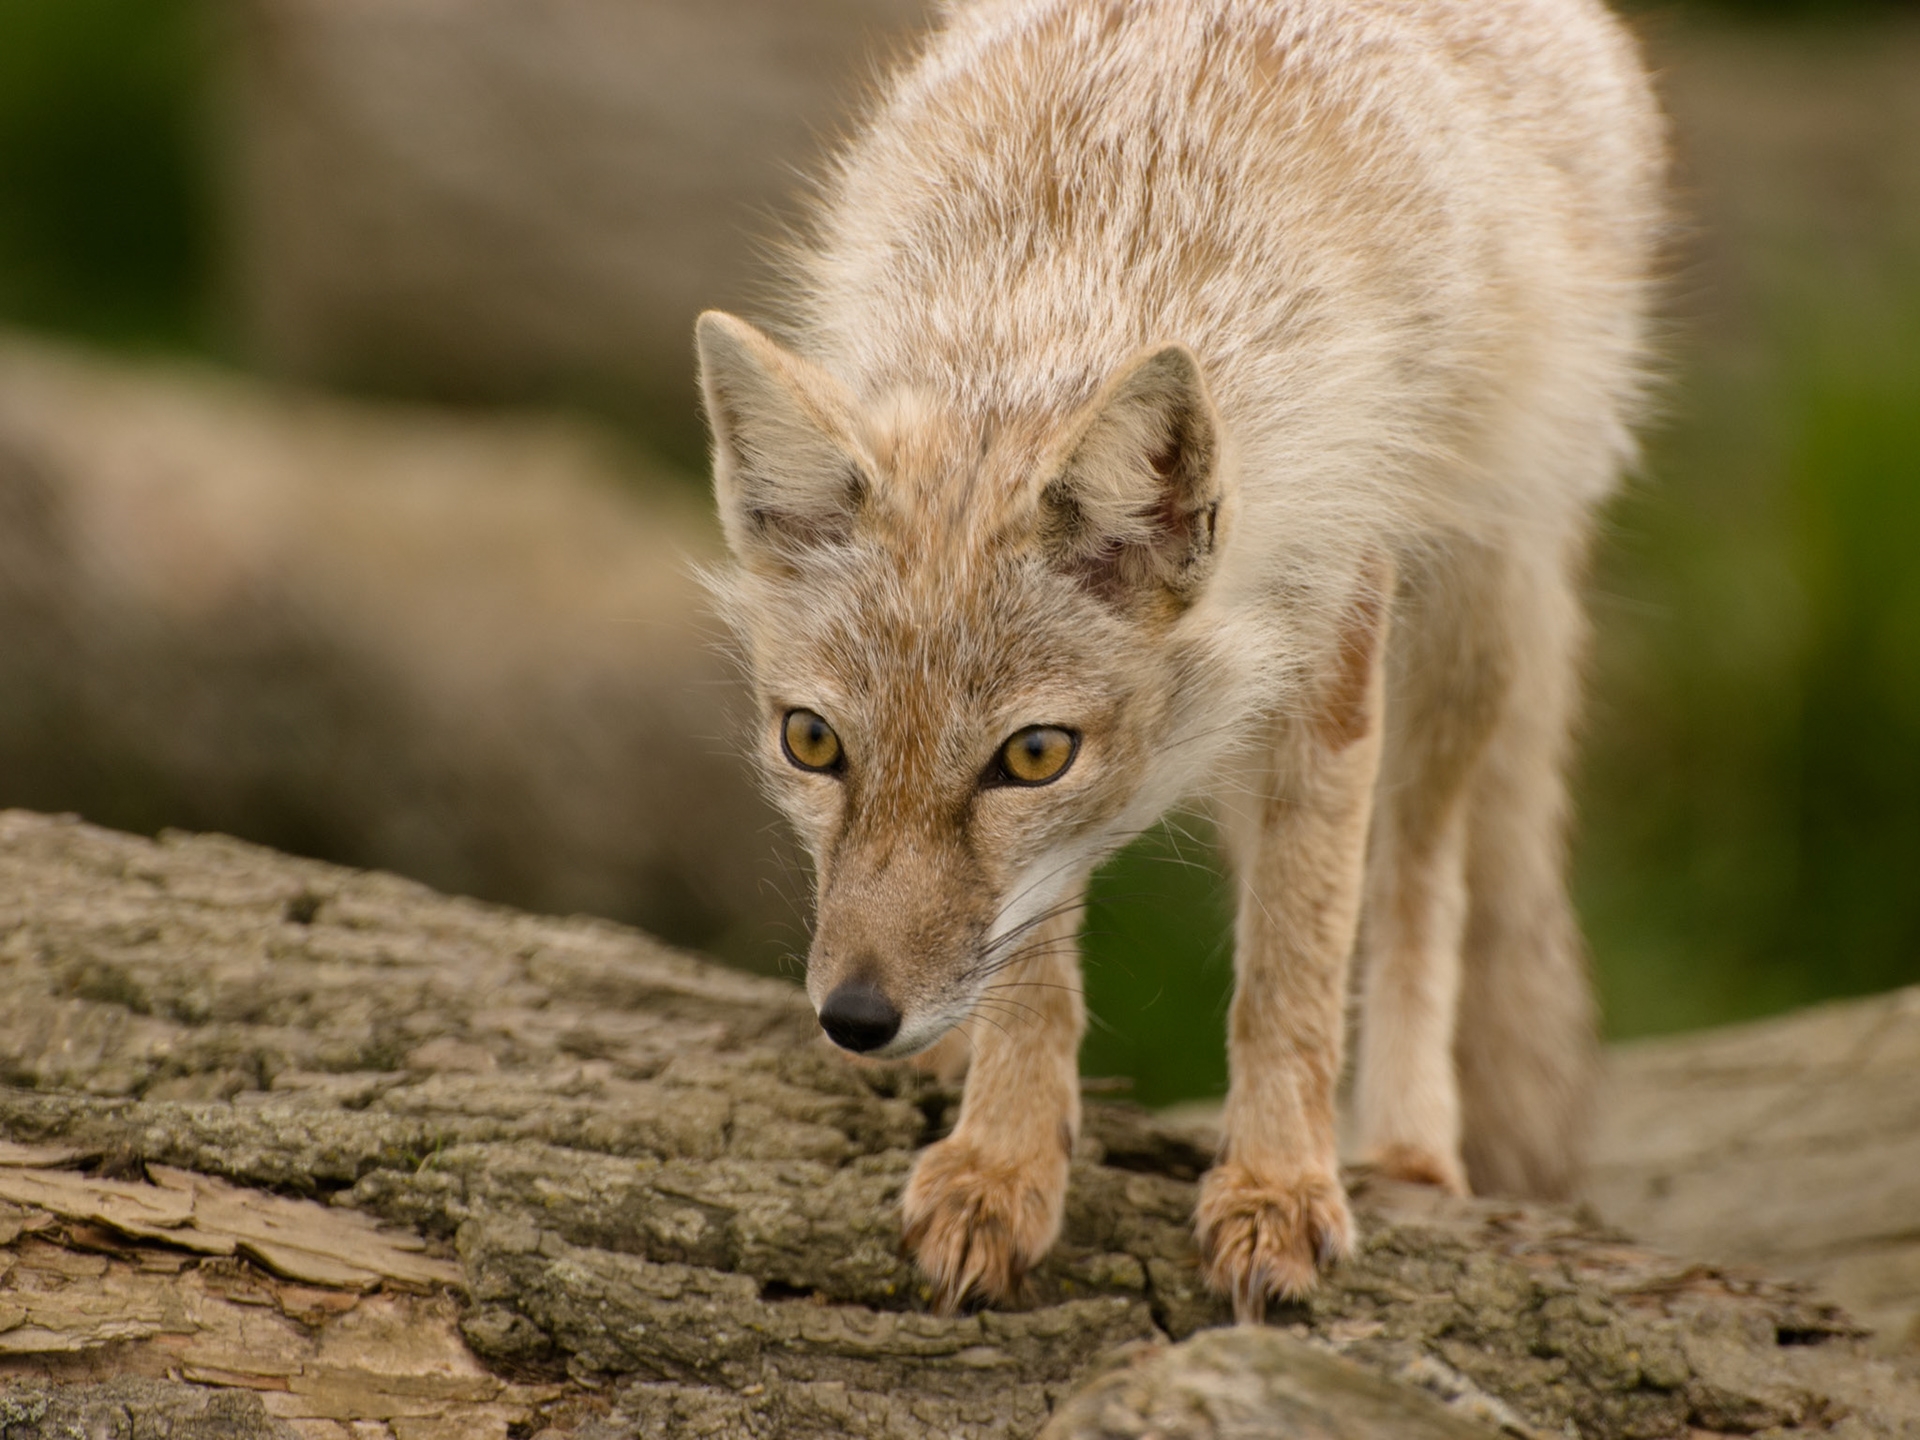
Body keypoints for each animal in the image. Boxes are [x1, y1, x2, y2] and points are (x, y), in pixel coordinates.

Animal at [695, 0, 1664, 1320]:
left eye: (1030, 757)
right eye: (812, 743)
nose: (854, 1017)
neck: (1094, 262)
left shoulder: (1333, 649)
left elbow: (1294, 968)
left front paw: (1278, 1185)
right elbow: (1039, 972)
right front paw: (1002, 1161)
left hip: (1473, 620)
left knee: (1421, 878)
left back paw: (1407, 1143)